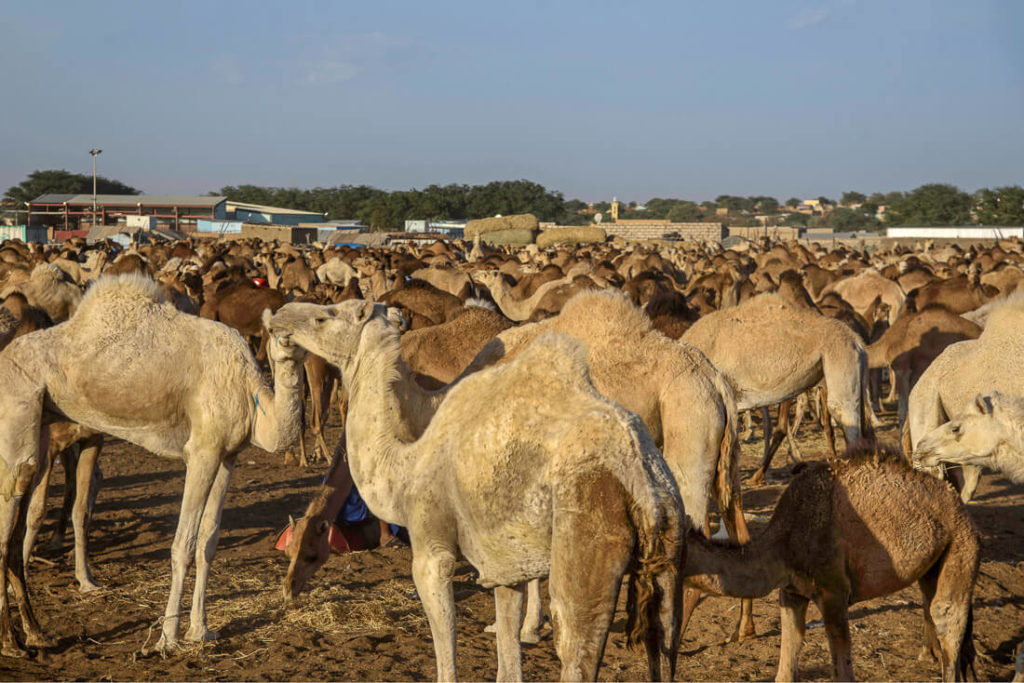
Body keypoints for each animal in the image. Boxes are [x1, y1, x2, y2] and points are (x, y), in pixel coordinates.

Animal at [0, 274, 307, 659]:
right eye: (275, 330)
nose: (289, 343)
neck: (251, 396)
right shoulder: (202, 451)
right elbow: (183, 545)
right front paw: (167, 639)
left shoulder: (227, 456)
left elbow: (208, 540)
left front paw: (201, 631)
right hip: (17, 408)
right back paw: (12, 643)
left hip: (40, 424)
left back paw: (36, 635)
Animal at [264, 301, 684, 683]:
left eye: (325, 315)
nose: (279, 317)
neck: (405, 465)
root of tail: (643, 486)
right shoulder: (507, 563)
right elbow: (508, 653)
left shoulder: (431, 548)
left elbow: (445, 641)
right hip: (669, 547)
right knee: (663, 643)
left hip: (585, 533)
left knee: (576, 644)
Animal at [684, 444, 978, 683]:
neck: (784, 541)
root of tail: (957, 501)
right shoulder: (791, 592)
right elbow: (785, 670)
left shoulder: (834, 593)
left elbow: (844, 673)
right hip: (933, 565)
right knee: (939, 612)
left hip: (962, 542)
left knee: (946, 616)